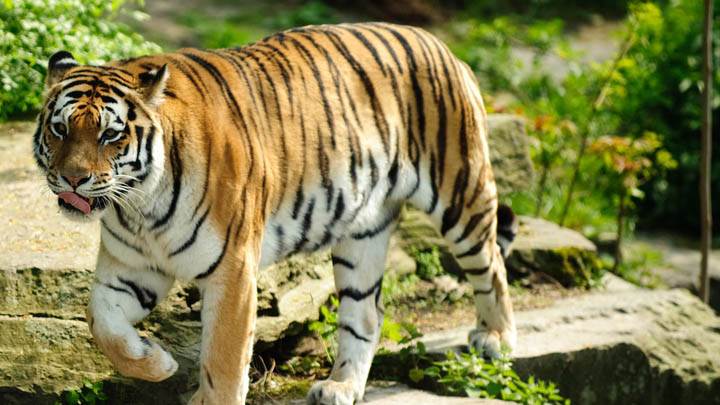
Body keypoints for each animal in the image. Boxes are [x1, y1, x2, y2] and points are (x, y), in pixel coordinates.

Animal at [33, 22, 517, 405]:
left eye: (110, 135)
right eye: (60, 129)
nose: (72, 179)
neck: (139, 207)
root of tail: (443, 47)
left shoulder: (233, 272)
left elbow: (224, 364)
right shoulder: (131, 268)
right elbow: (102, 323)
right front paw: (156, 362)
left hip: (461, 194)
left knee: (492, 265)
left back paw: (496, 339)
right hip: (362, 233)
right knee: (366, 314)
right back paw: (340, 387)